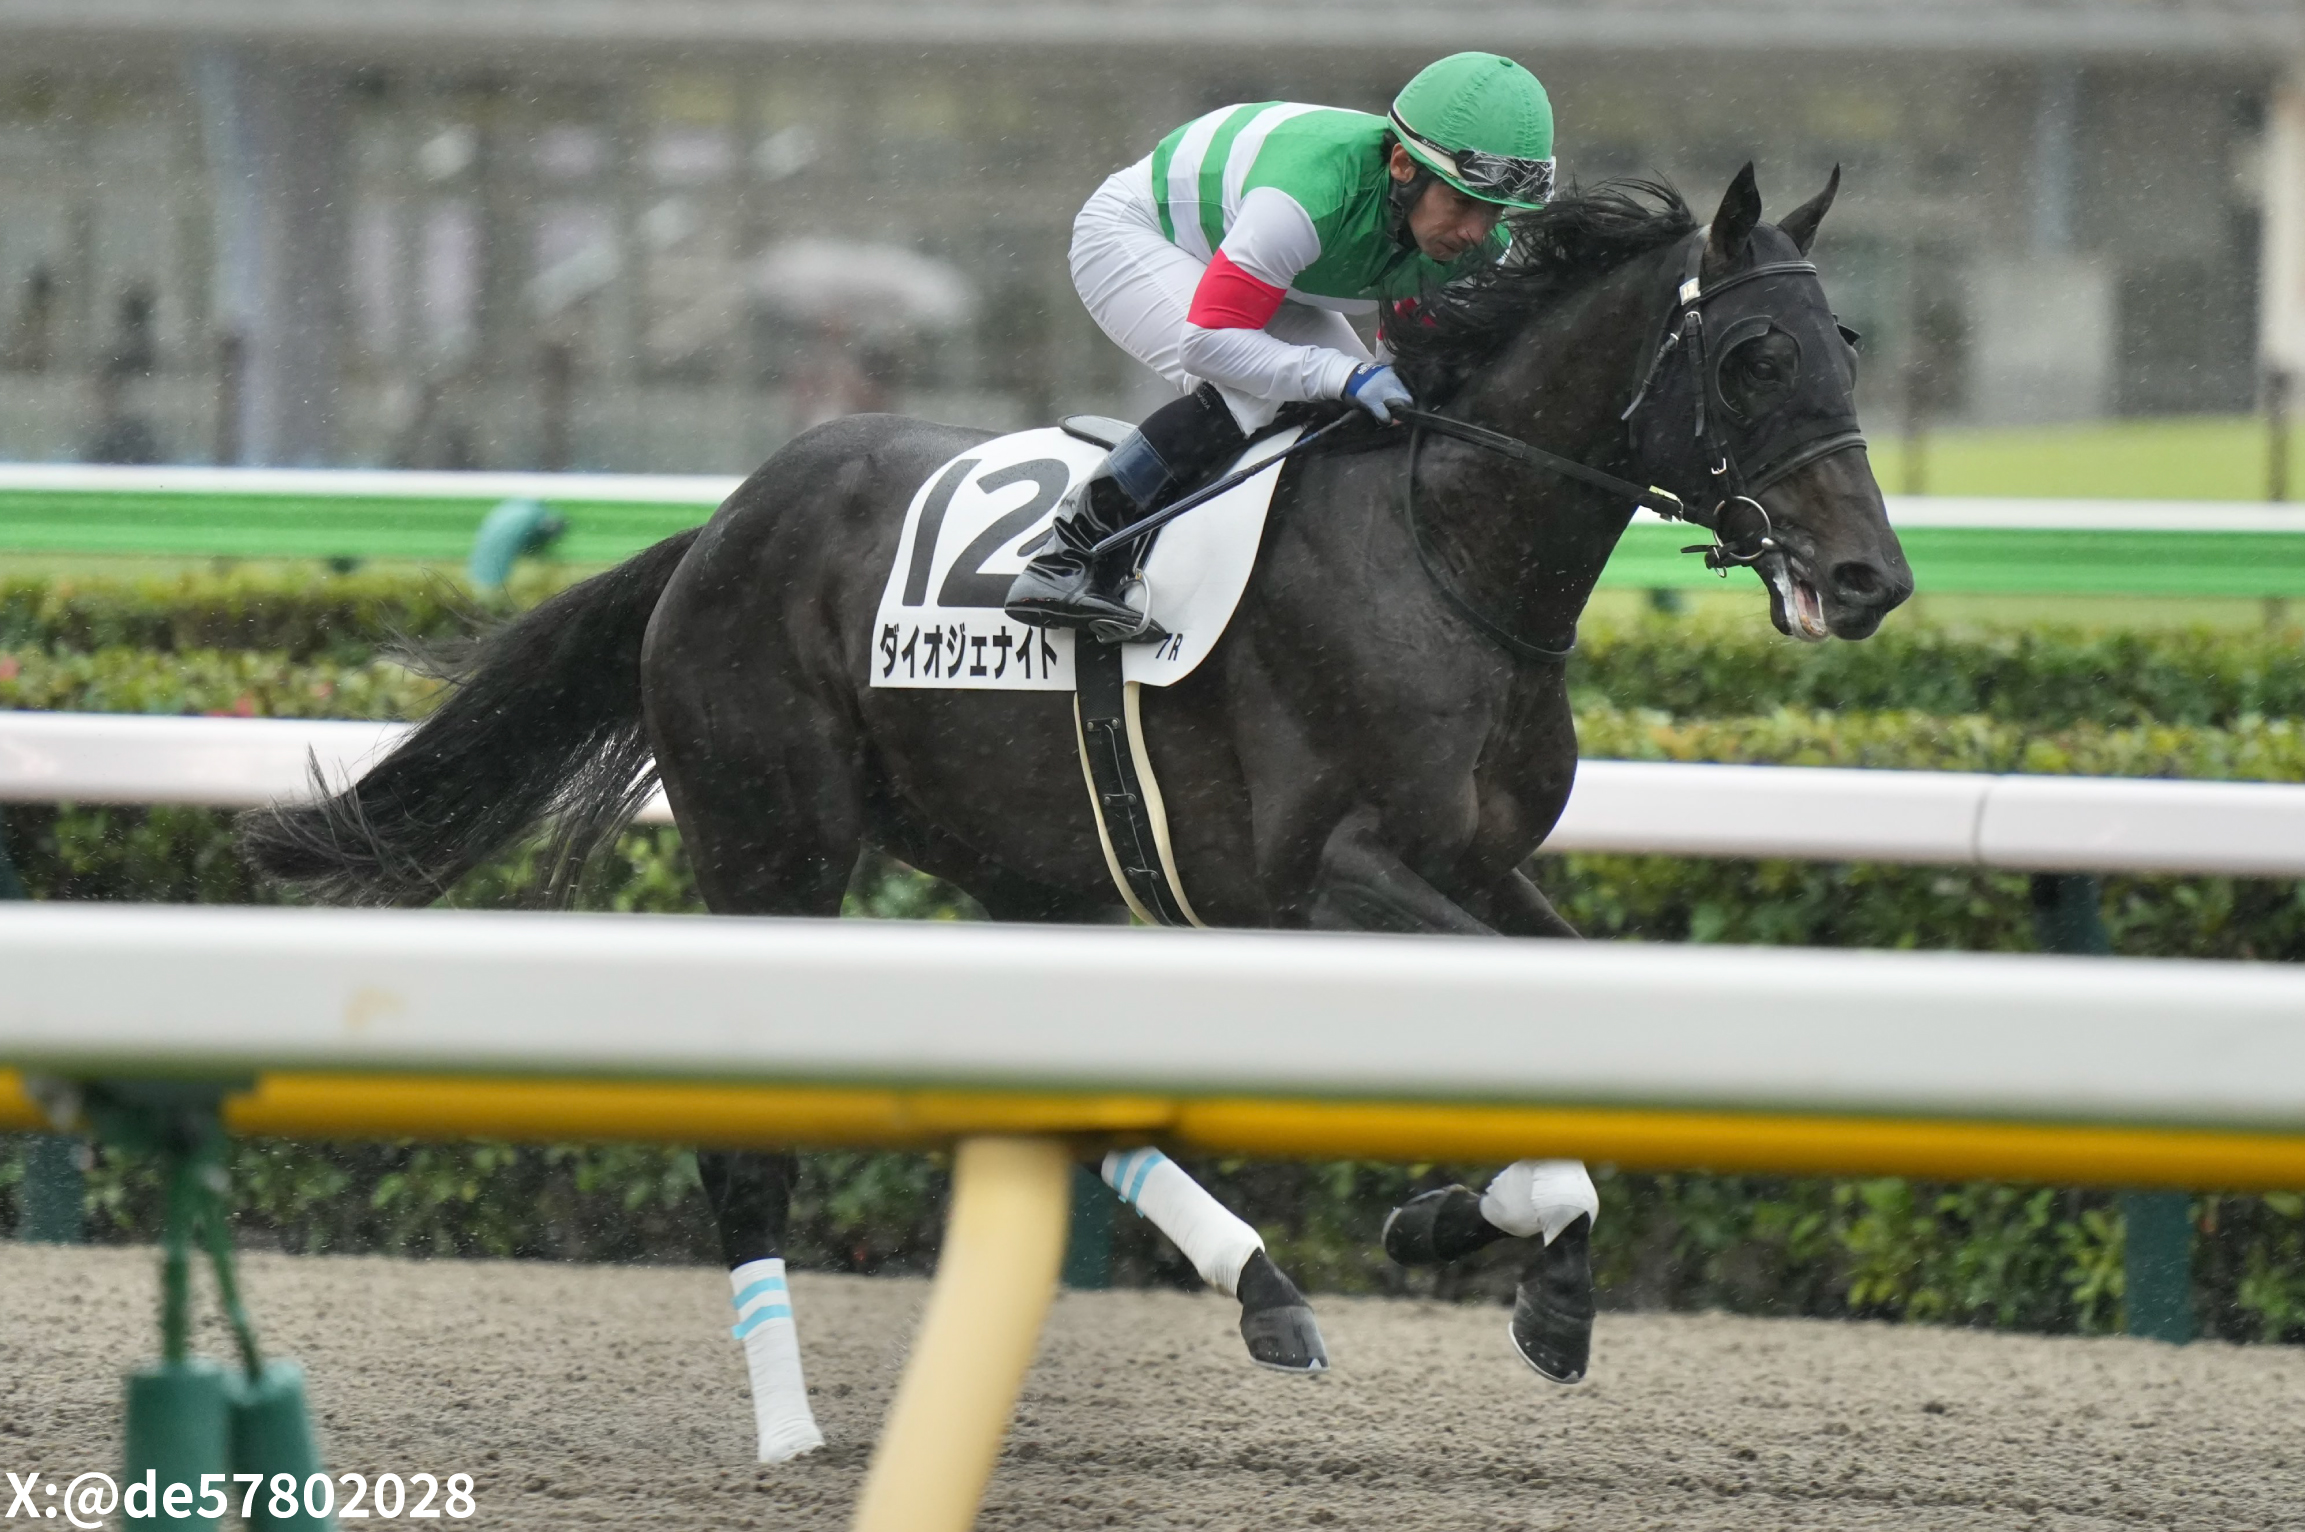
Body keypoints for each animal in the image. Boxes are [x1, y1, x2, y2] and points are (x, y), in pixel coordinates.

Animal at [240, 166, 1910, 1458]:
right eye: (1751, 356)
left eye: (1844, 341)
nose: (1869, 579)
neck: (1446, 547)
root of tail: (720, 524)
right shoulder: (1330, 879)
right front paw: (1514, 1245)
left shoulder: (1476, 866)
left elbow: (1561, 1012)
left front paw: (1475, 1234)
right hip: (773, 847)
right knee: (748, 1148)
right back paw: (787, 1425)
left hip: (1021, 865)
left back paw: (1263, 1289)